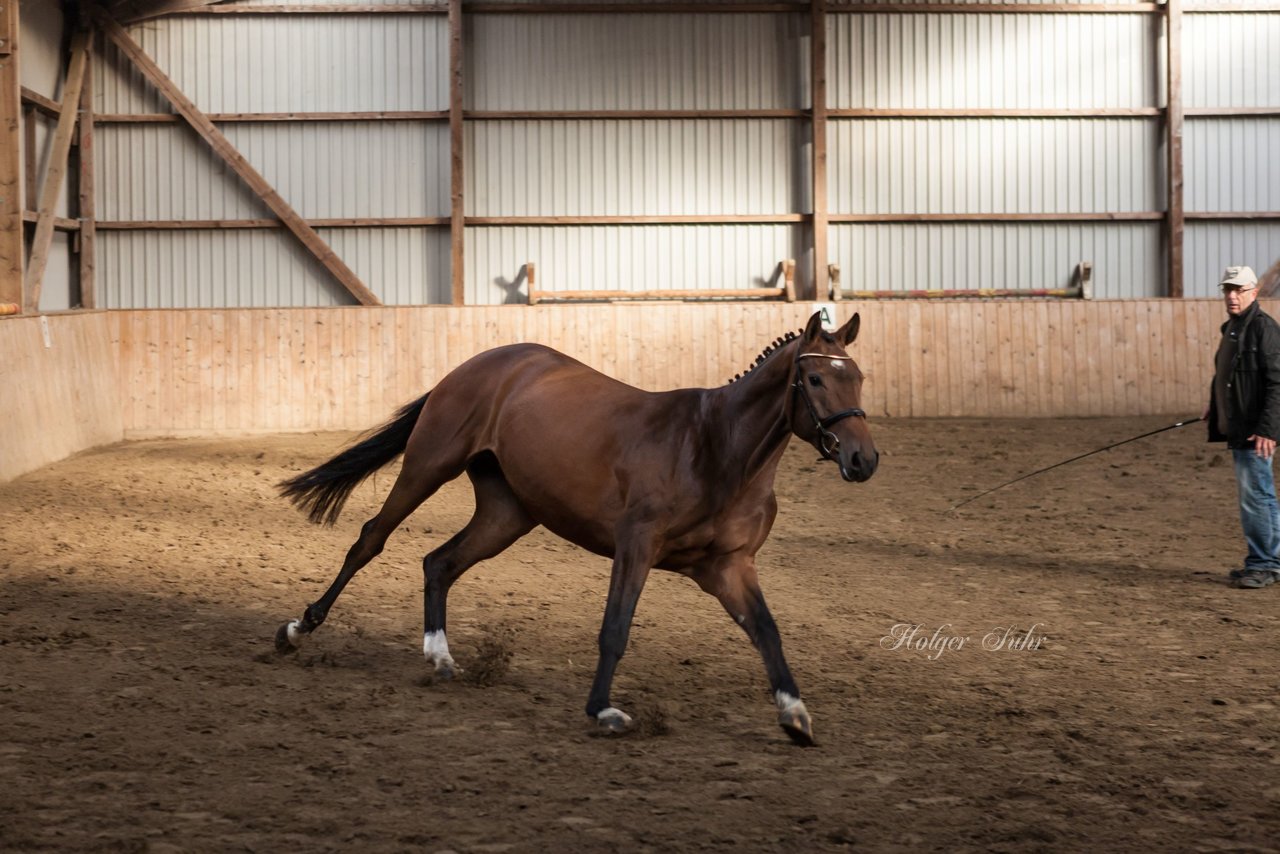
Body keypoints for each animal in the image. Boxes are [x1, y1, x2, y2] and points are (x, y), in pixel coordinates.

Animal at [277, 311, 880, 742]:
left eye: (858, 379)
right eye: (815, 378)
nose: (863, 460)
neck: (716, 448)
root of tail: (481, 363)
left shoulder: (728, 567)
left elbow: (766, 631)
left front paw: (795, 714)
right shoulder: (636, 546)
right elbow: (615, 628)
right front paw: (603, 710)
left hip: (507, 514)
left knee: (439, 563)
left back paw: (441, 656)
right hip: (428, 465)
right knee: (370, 540)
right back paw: (298, 629)